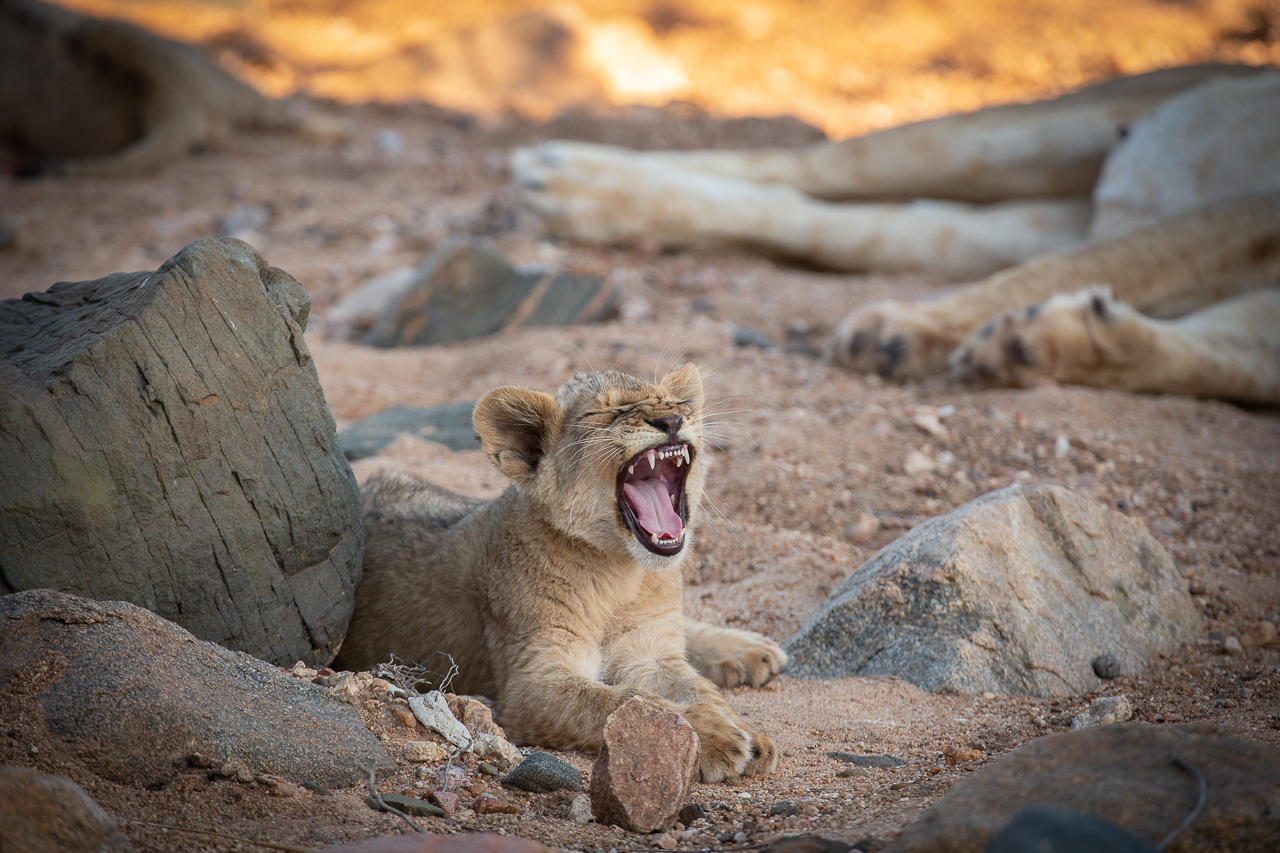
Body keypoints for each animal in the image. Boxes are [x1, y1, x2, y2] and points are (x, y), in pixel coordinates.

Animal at [336, 364, 786, 783]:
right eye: (609, 412)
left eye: (674, 402)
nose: (672, 420)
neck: (620, 573)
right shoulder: (531, 682)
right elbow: (627, 702)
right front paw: (715, 736)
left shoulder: (651, 651)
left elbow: (696, 688)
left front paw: (745, 731)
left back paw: (752, 650)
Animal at [511, 66, 1280, 403]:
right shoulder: (1249, 208)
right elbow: (1126, 262)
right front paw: (917, 326)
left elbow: (1225, 360)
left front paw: (1048, 343)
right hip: (1046, 128)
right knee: (808, 164)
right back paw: (569, 181)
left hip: (1039, 210)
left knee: (853, 225)